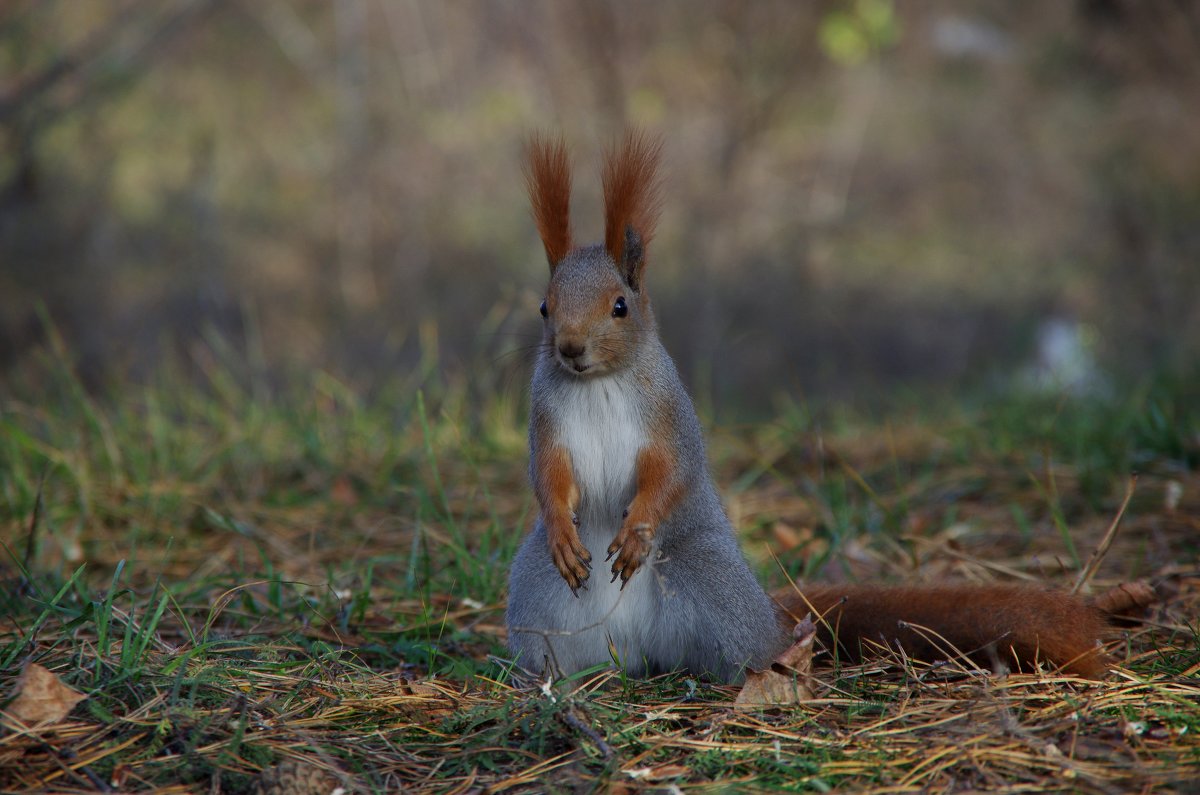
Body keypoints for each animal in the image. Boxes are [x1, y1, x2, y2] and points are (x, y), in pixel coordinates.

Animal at [501, 130, 1108, 686]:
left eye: (620, 307)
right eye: (544, 307)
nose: (569, 348)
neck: (599, 383)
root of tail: (632, 650)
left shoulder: (668, 416)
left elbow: (670, 472)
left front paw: (636, 531)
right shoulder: (547, 421)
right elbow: (548, 475)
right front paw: (562, 533)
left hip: (710, 585)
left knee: (748, 647)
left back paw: (778, 661)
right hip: (538, 598)